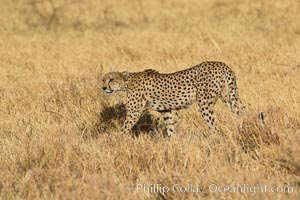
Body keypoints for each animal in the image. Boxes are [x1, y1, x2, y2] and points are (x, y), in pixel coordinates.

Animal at [102, 61, 245, 137]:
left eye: (111, 80)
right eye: (103, 79)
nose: (103, 88)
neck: (127, 82)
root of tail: (221, 64)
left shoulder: (134, 112)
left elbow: (124, 128)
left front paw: (116, 142)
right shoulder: (167, 110)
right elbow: (170, 127)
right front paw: (171, 144)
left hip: (205, 103)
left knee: (214, 125)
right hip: (229, 97)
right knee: (242, 111)